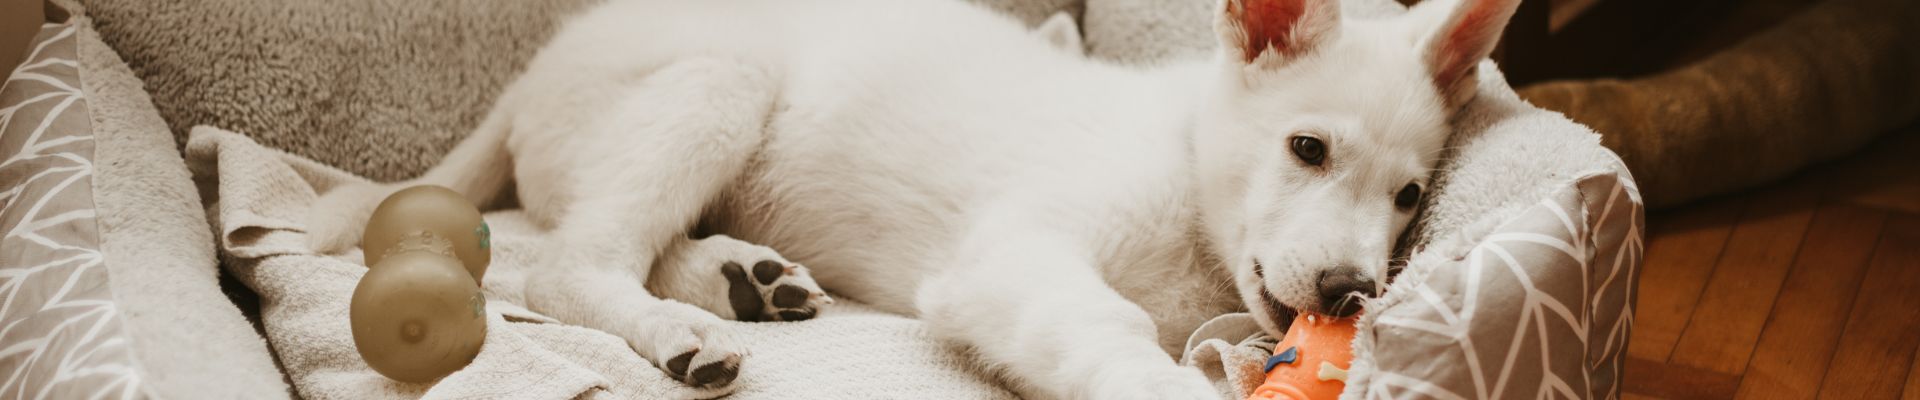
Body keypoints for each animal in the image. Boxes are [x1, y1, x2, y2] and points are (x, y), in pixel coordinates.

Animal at [307, 0, 1520, 396]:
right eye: (1307, 147)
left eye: (1411, 196)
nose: (1353, 291)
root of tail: (531, 73)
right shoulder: (1015, 254)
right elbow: (1107, 327)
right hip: (717, 81)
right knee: (568, 260)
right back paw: (682, 330)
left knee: (620, 241)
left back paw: (745, 280)